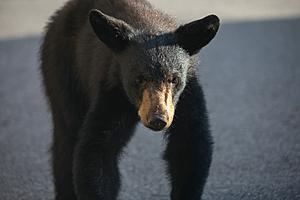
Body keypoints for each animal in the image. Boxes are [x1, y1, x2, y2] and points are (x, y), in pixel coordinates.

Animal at [39, 0, 219, 200]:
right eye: (140, 79)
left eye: (173, 79)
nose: (158, 119)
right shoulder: (112, 90)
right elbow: (97, 150)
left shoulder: (187, 95)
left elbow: (190, 144)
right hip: (63, 70)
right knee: (67, 135)